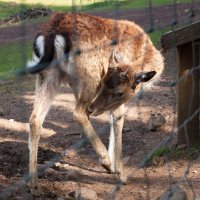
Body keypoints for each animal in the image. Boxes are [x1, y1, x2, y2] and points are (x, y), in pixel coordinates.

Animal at [27, 11, 164, 195]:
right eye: (118, 92)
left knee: (35, 119)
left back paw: (34, 184)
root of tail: (52, 34)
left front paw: (113, 168)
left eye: (113, 87)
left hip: (48, 76)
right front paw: (120, 173)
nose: (93, 108)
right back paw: (105, 160)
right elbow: (118, 119)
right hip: (89, 77)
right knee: (78, 113)